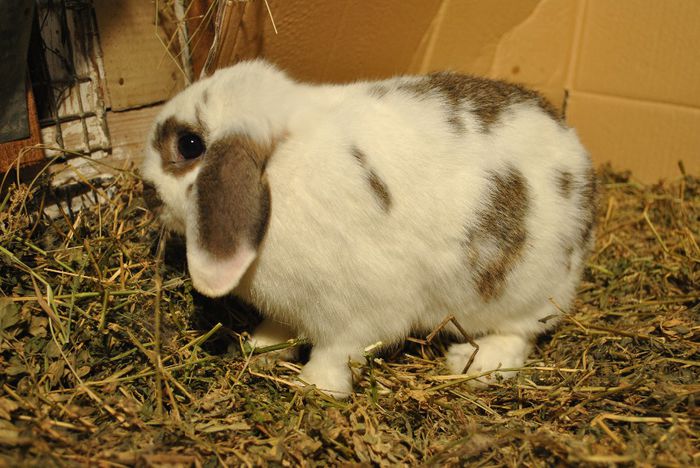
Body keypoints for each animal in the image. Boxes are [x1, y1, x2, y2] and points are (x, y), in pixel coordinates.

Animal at [141, 58, 596, 398]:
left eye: (189, 145)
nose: (146, 190)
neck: (279, 168)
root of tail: (584, 170)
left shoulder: (359, 313)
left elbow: (336, 351)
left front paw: (315, 387)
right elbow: (282, 326)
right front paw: (261, 346)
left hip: (525, 292)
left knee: (521, 335)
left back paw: (473, 361)